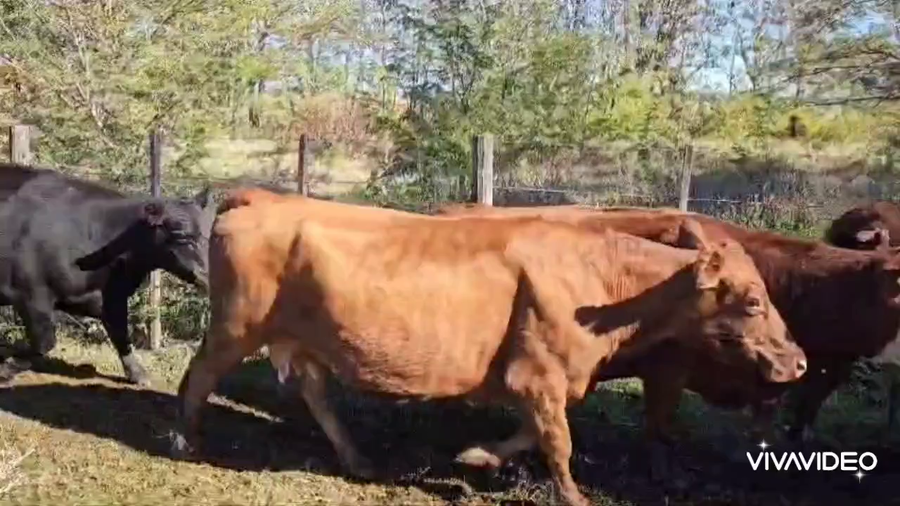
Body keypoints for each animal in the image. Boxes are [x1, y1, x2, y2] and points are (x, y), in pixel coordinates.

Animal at [0, 162, 215, 386]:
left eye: (210, 232)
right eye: (181, 236)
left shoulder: (112, 298)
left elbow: (122, 336)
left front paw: (139, 375)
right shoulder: (32, 296)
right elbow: (45, 343)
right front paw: (6, 369)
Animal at [171, 189, 805, 506]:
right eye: (753, 300)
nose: (798, 361)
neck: (601, 281)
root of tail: (261, 198)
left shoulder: (535, 380)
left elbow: (531, 434)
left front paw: (477, 457)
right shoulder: (539, 374)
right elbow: (559, 443)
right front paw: (574, 498)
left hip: (298, 337)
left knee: (315, 393)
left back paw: (356, 460)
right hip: (235, 324)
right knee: (197, 376)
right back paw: (185, 440)